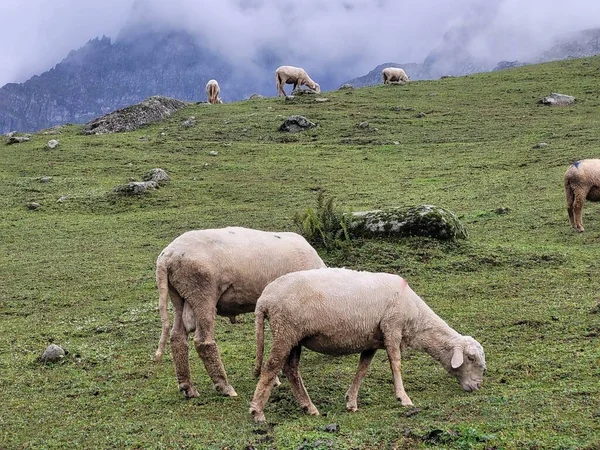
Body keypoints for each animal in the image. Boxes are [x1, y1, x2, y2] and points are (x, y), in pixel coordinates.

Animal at [152, 227, 326, 400]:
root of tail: (167, 255)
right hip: (202, 293)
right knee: (203, 342)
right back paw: (224, 386)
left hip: (179, 297)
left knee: (177, 337)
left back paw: (187, 387)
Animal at [251, 268, 486, 424]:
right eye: (471, 358)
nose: (477, 386)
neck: (416, 318)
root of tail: (264, 299)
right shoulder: (392, 327)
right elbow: (395, 363)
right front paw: (403, 398)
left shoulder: (372, 340)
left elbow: (362, 369)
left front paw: (351, 402)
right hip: (285, 330)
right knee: (271, 367)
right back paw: (258, 412)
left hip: (295, 336)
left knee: (291, 369)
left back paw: (309, 407)